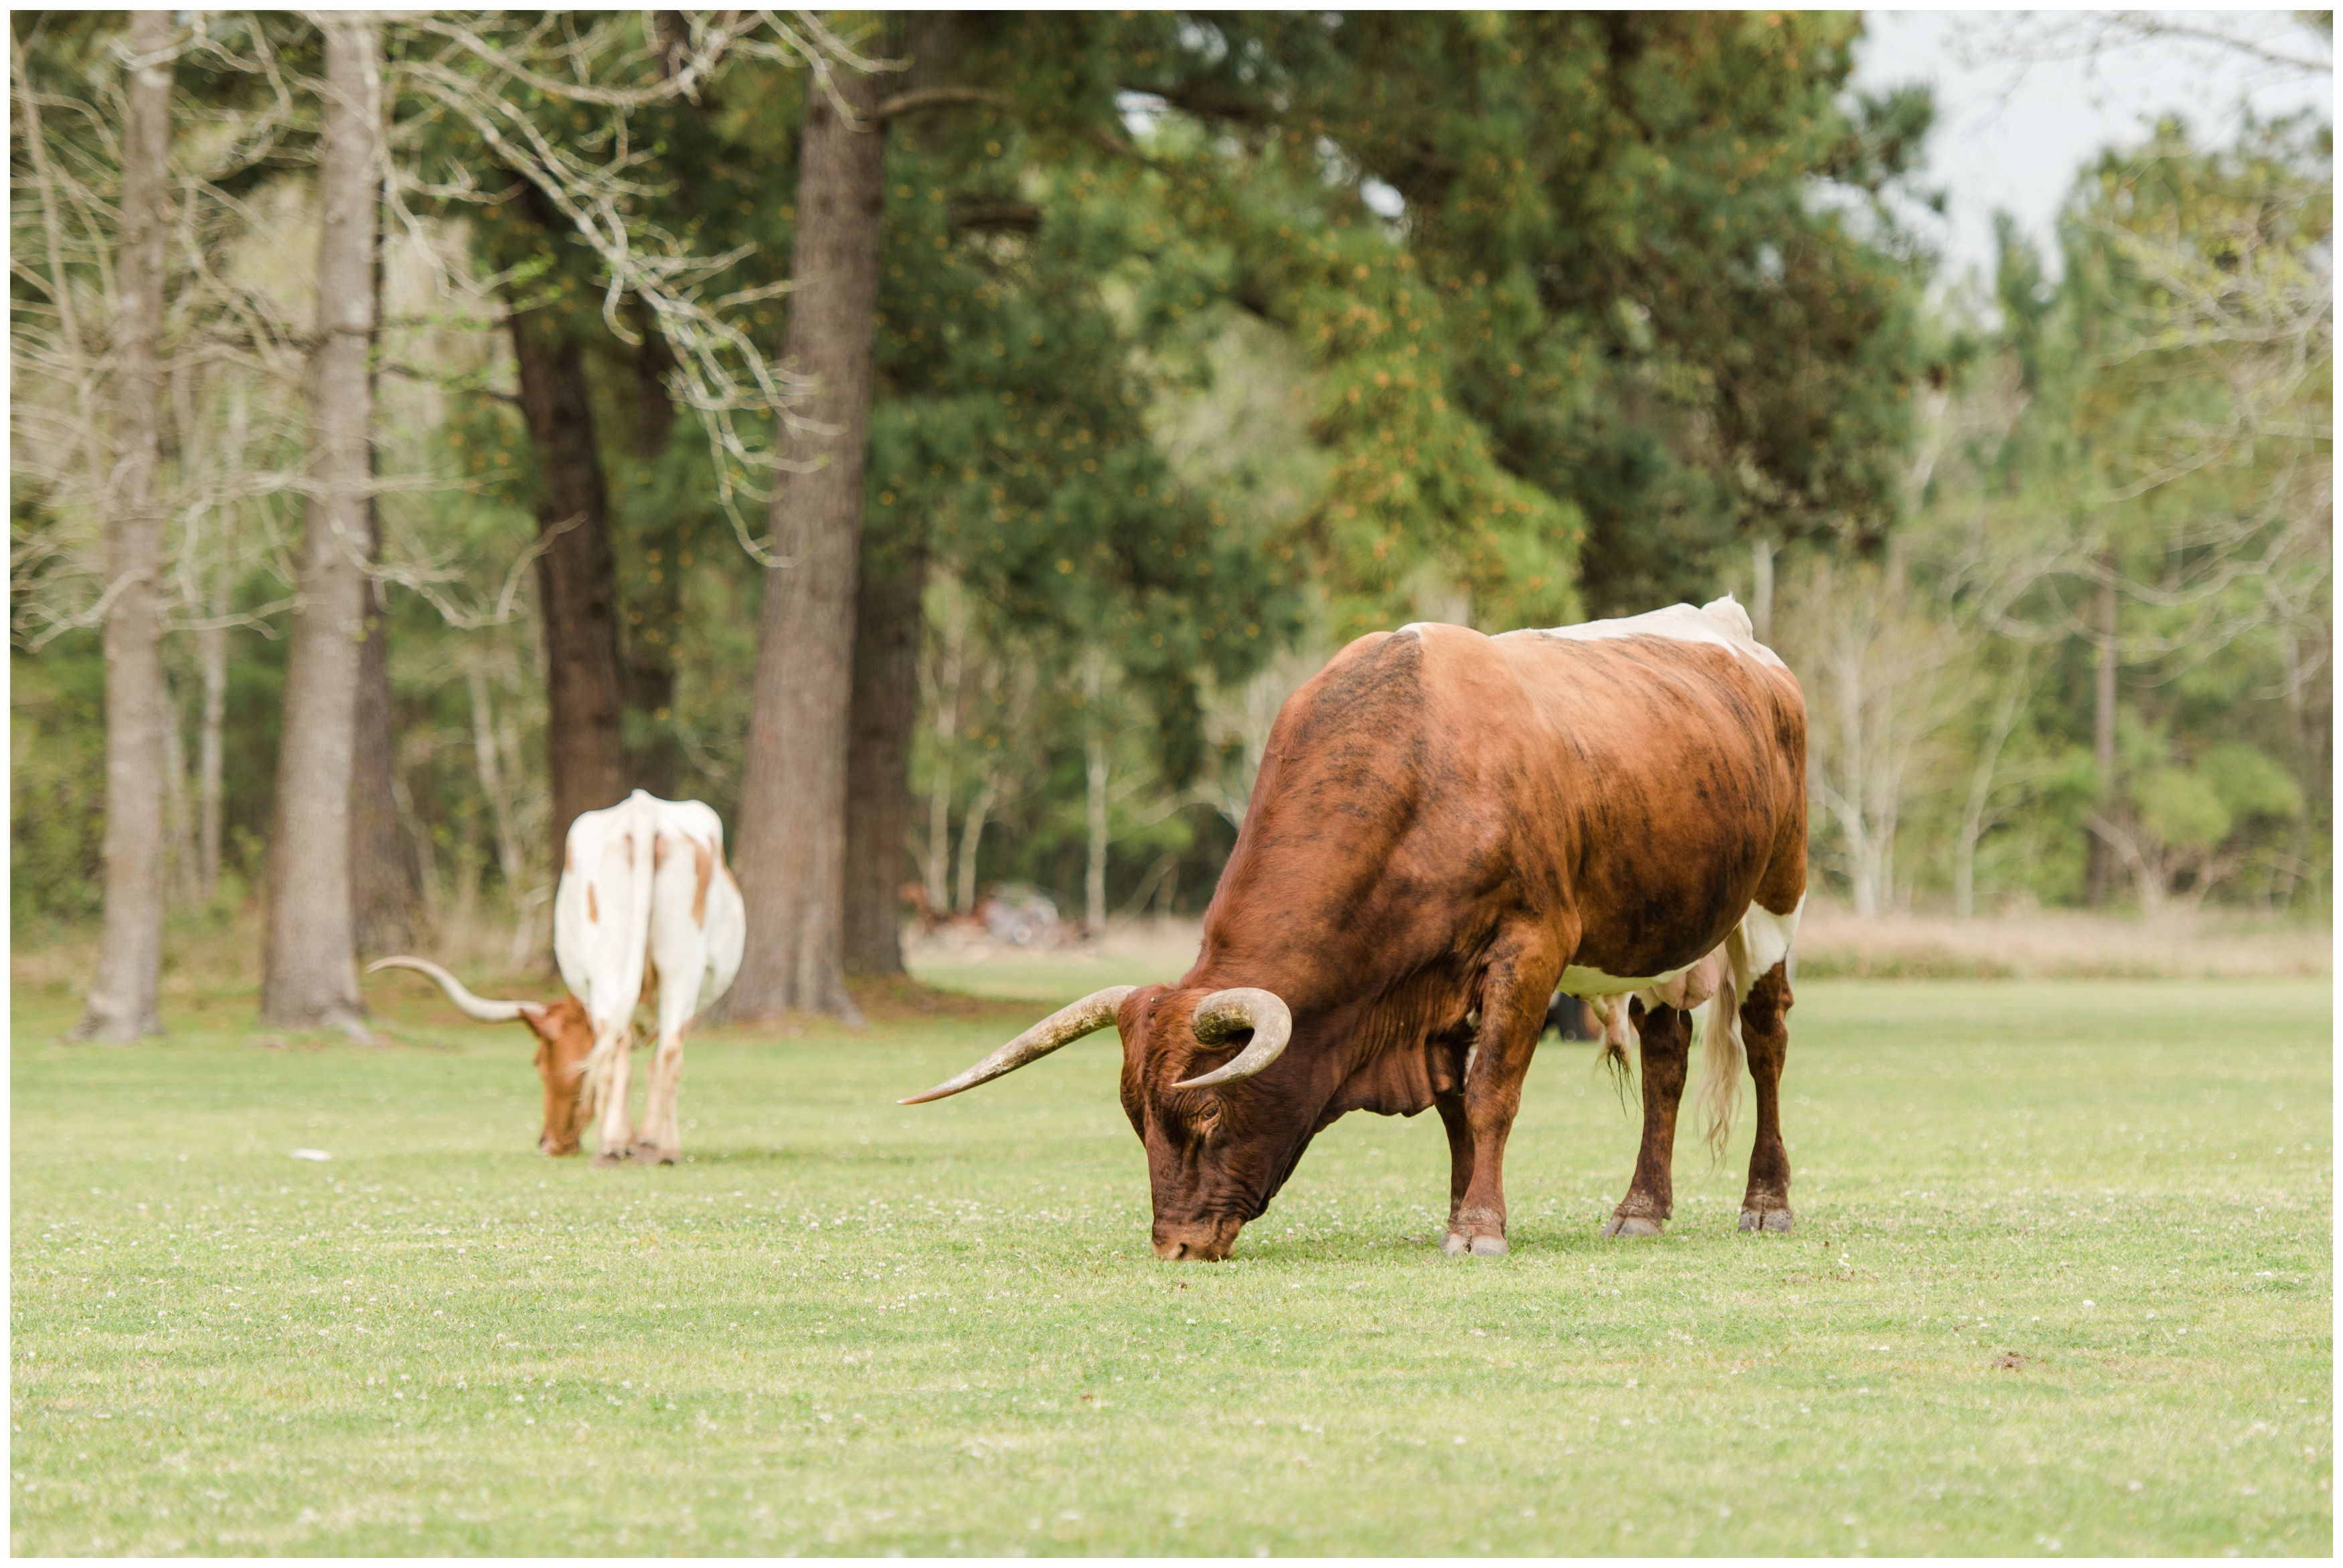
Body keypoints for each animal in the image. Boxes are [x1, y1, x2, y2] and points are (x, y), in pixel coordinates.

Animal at [372, 787, 740, 1158]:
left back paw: (620, 1145)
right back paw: (653, 1146)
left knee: (626, 1055)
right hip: (673, 973)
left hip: (621, 971)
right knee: (658, 1054)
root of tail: (642, 814)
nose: (547, 1143)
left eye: (538, 1062)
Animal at [904, 600, 1799, 1256]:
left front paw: (1478, 1227)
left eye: (1206, 1116)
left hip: (1771, 904)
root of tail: (1732, 630)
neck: (1420, 765)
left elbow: (1490, 1091)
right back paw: (1641, 1207)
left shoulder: (1527, 952)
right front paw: (1460, 1208)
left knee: (1763, 1042)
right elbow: (1453, 1105)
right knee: (1665, 1057)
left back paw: (1766, 1201)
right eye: (1136, 1122)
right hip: (1658, 944)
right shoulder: (1430, 986)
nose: (1174, 1246)